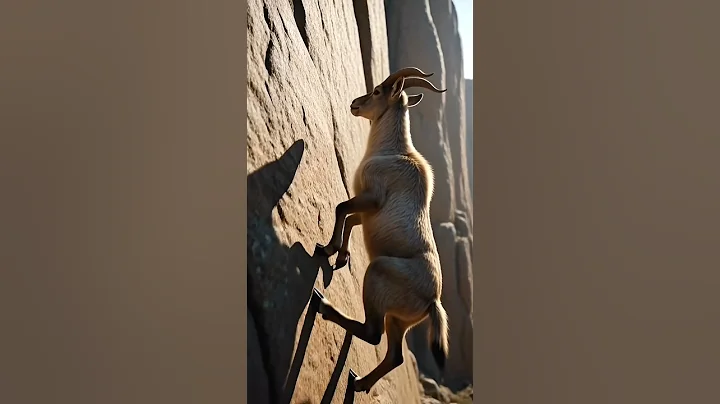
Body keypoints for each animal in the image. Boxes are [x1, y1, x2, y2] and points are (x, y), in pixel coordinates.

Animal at [314, 67, 450, 394]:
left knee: (372, 332)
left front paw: (327, 249)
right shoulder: (367, 212)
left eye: (377, 91)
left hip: (377, 277)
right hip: (398, 322)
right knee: (395, 356)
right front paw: (341, 257)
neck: (393, 151)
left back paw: (323, 305)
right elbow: (350, 218)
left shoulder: (371, 198)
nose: (354, 104)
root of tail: (432, 302)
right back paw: (359, 382)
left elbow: (341, 208)